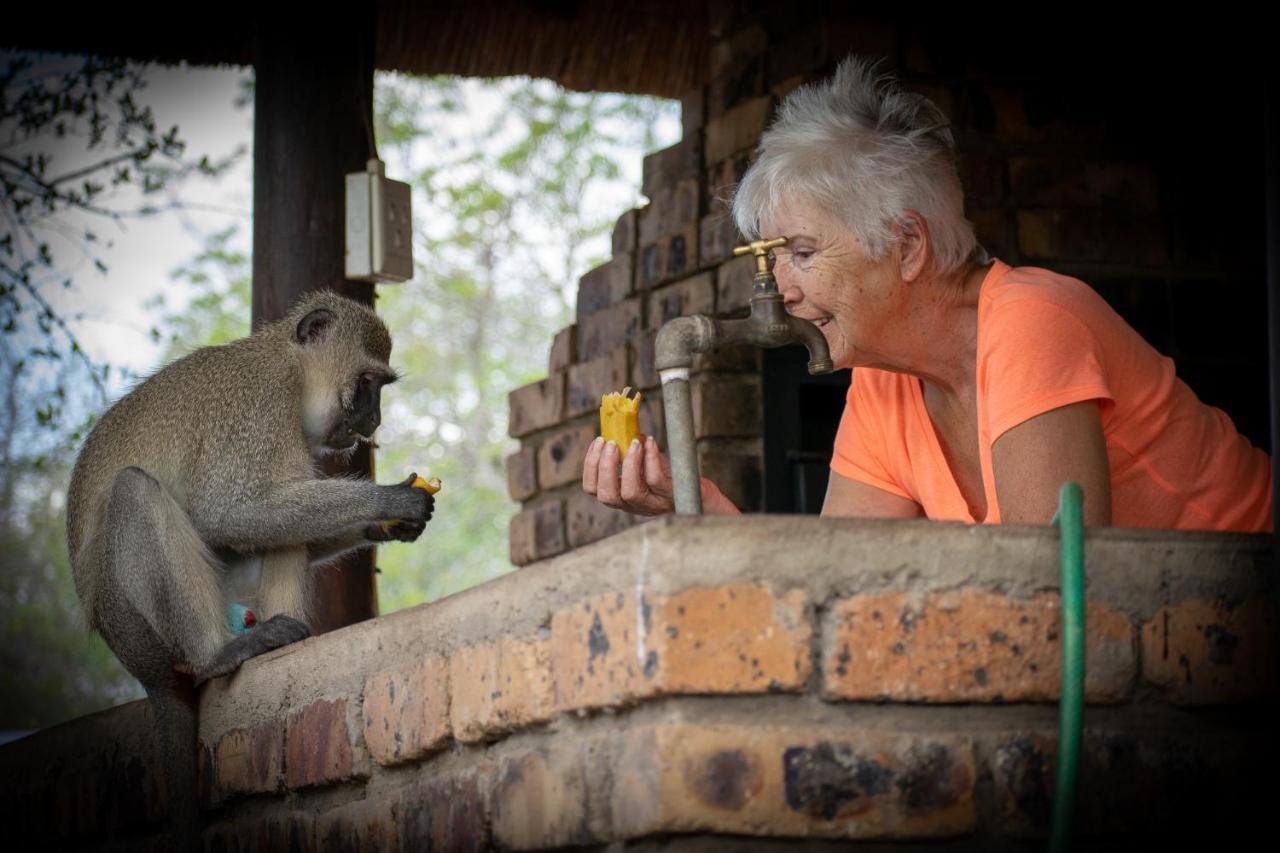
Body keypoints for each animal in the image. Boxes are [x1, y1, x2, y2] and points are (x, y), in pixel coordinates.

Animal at [64, 289, 430, 840]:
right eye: (367, 384)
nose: (375, 421)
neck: (291, 367)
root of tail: (138, 666)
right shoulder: (259, 407)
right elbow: (228, 511)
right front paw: (391, 501)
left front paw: (385, 526)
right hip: (134, 625)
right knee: (134, 493)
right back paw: (219, 653)